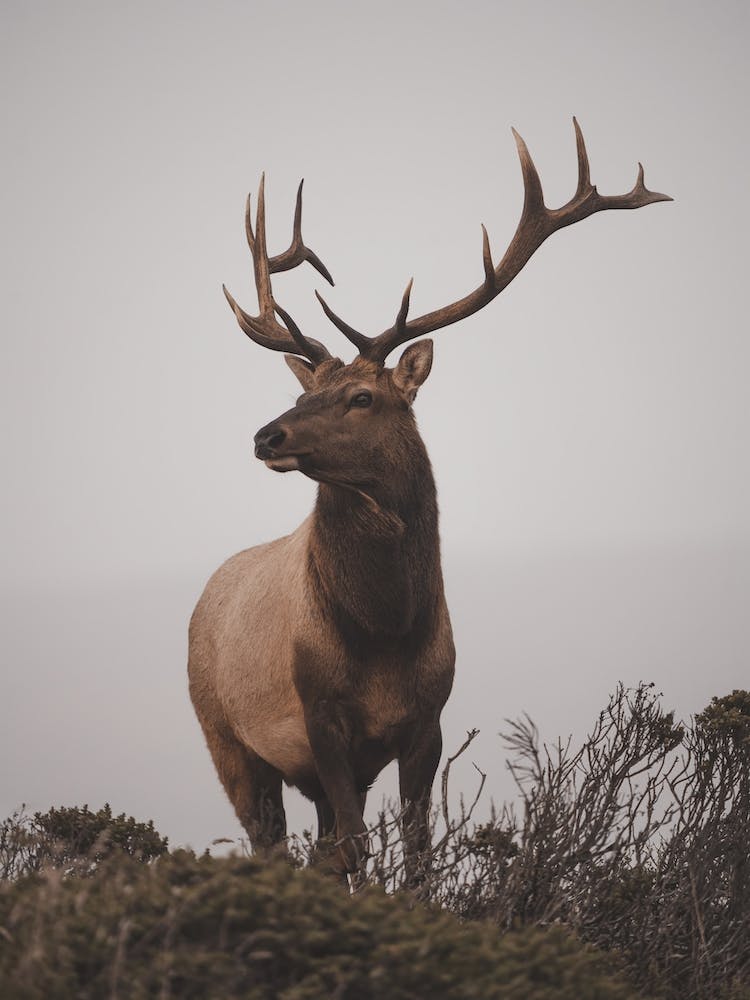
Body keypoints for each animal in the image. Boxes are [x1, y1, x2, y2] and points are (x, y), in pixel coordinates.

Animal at [188, 119, 671, 879]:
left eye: (362, 396)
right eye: (304, 391)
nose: (267, 435)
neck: (386, 632)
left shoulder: (429, 721)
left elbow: (415, 850)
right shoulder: (319, 715)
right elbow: (357, 848)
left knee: (317, 844)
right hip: (225, 736)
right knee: (273, 844)